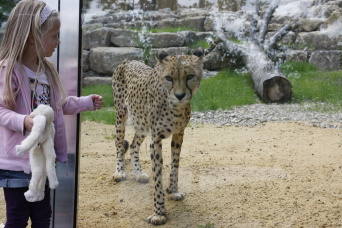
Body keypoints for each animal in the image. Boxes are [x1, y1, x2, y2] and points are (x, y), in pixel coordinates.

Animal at [111, 48, 203, 224]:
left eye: (190, 76)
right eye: (169, 78)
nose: (180, 95)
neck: (175, 107)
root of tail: (127, 60)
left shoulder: (179, 134)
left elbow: (175, 165)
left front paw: (173, 191)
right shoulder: (156, 138)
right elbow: (158, 175)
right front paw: (159, 213)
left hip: (141, 124)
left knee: (133, 145)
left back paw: (139, 173)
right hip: (121, 115)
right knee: (119, 145)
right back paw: (119, 172)